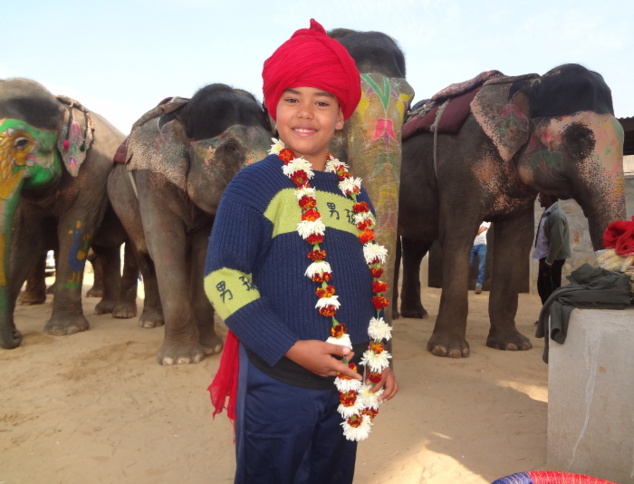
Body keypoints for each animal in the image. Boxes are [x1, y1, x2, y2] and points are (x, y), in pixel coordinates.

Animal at [0, 78, 127, 348]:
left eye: (21, 143)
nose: (15, 336)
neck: (62, 108)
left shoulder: (94, 175)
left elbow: (75, 230)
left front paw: (65, 330)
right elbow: (26, 240)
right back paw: (106, 308)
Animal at [107, 84, 274, 364]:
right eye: (230, 148)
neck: (184, 116)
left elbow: (204, 248)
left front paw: (210, 349)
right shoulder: (152, 177)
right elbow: (165, 238)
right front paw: (180, 360)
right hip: (122, 205)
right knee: (144, 254)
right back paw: (151, 321)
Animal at [396, 63, 624, 356]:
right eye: (579, 139)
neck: (529, 83)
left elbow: (516, 241)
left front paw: (512, 345)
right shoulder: (461, 166)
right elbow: (458, 234)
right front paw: (449, 351)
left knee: (416, 246)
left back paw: (414, 313)